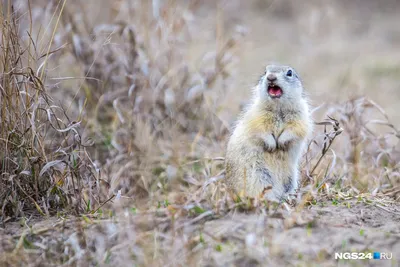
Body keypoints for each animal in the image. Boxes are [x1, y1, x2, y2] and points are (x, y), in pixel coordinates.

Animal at [225, 64, 312, 201]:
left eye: (289, 73)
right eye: (265, 71)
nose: (270, 77)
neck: (278, 108)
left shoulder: (301, 117)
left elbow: (296, 129)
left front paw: (281, 143)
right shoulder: (256, 116)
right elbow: (260, 130)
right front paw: (272, 145)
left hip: (290, 179)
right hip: (259, 176)